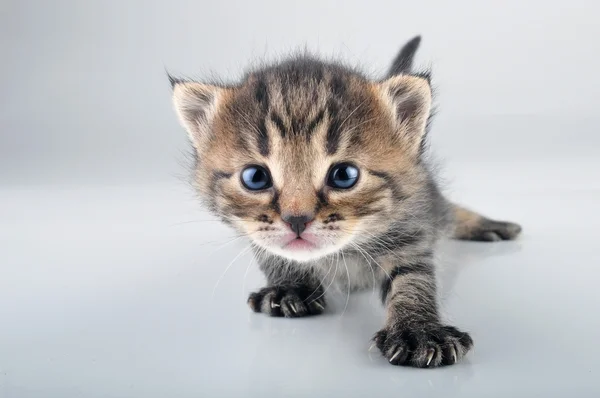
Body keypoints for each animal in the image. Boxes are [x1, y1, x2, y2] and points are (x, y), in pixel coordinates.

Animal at [169, 35, 520, 368]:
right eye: (255, 177)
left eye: (344, 176)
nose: (297, 219)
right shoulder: (256, 233)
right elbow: (273, 254)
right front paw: (288, 286)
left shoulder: (411, 226)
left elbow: (412, 278)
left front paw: (418, 330)